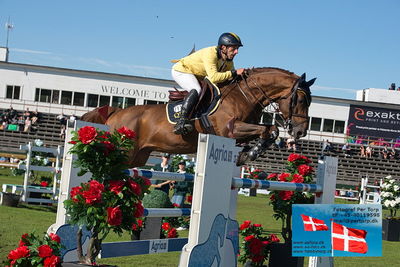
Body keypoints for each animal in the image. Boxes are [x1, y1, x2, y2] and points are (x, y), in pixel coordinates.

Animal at [80, 67, 316, 168]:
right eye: (300, 100)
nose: (300, 131)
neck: (244, 95)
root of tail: (116, 112)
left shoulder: (242, 130)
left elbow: (269, 130)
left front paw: (247, 154)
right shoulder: (229, 130)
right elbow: (269, 130)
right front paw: (251, 153)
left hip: (137, 157)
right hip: (124, 153)